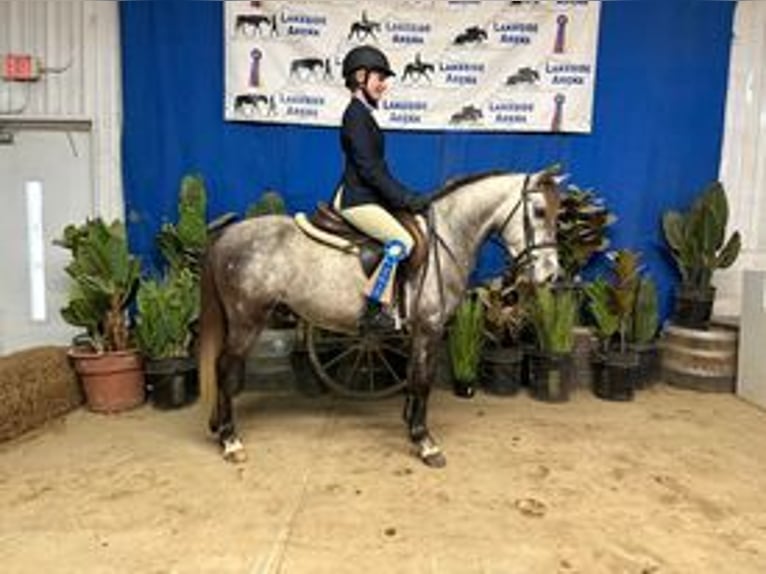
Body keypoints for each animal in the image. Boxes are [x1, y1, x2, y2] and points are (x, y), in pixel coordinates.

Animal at [198, 169, 560, 470]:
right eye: (539, 211)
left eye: (560, 214)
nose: (551, 275)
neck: (447, 235)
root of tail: (225, 236)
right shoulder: (430, 329)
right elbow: (423, 380)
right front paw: (425, 443)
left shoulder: (417, 332)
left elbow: (413, 377)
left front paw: (411, 426)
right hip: (247, 321)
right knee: (224, 368)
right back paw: (230, 441)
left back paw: (219, 428)